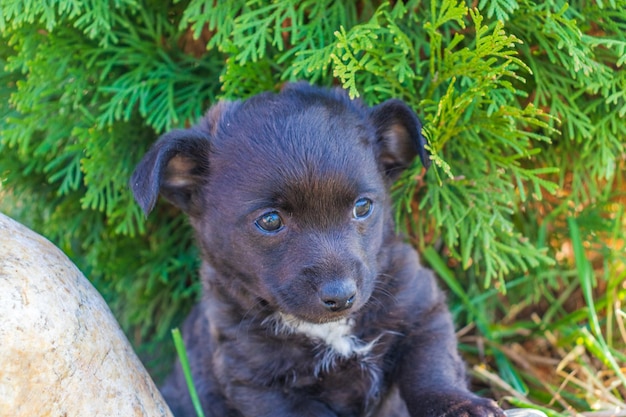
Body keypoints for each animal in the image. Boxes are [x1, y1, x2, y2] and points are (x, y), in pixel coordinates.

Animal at [130, 82, 502, 416]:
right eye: (269, 220)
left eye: (363, 207)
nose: (341, 296)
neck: (328, 330)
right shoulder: (258, 384)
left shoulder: (423, 312)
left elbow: (433, 372)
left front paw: (462, 407)